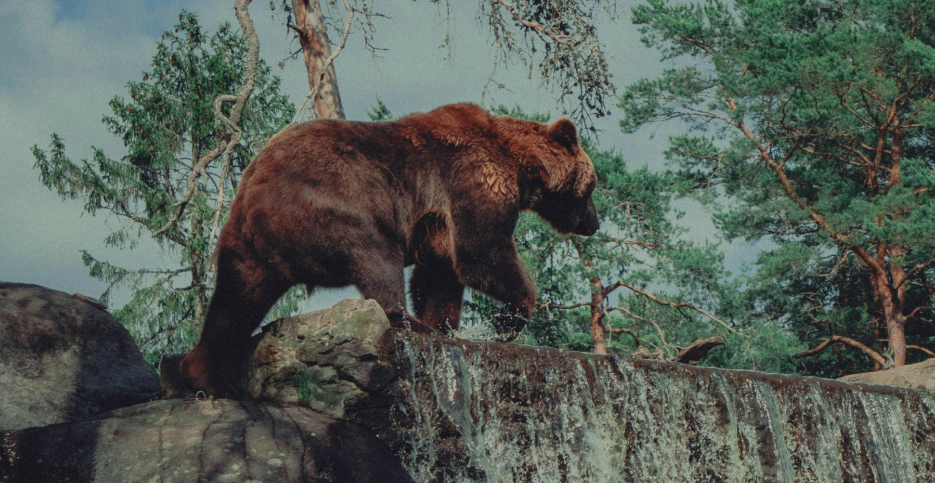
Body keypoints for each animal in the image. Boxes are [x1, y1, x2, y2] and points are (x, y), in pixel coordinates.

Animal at [179, 103, 599, 397]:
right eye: (592, 186)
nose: (594, 224)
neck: (521, 165)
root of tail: (253, 192)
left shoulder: (437, 222)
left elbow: (440, 275)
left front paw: (445, 324)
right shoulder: (473, 179)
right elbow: (481, 252)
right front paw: (509, 317)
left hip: (246, 244)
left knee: (234, 300)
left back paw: (204, 374)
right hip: (340, 193)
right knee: (376, 255)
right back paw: (404, 321)